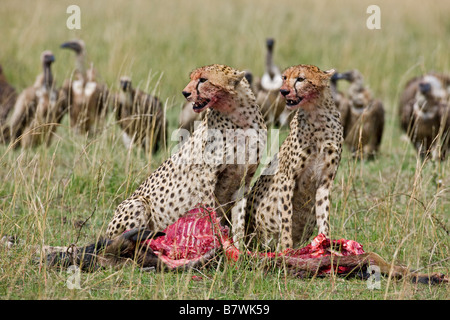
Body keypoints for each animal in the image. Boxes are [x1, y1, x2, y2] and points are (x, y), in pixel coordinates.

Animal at [105, 63, 268, 241]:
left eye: (203, 80)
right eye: (192, 78)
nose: (185, 93)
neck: (240, 118)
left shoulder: (243, 181)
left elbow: (238, 223)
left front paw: (238, 248)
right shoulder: (206, 178)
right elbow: (210, 216)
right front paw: (216, 245)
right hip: (138, 203)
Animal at [244, 64, 342, 250]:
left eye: (300, 79)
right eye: (284, 78)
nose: (283, 91)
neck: (316, 114)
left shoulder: (325, 182)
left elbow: (323, 215)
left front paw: (326, 244)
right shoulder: (287, 177)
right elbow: (286, 215)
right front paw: (285, 248)